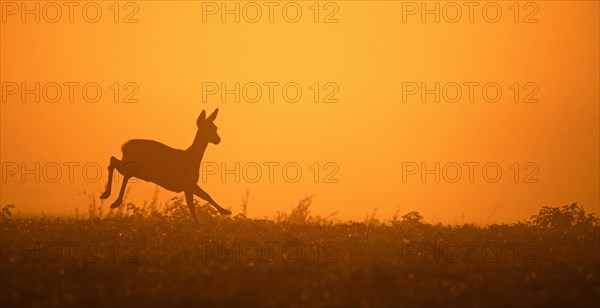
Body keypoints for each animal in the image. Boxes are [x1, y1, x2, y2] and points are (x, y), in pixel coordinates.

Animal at [99, 108, 231, 221]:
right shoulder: (188, 183)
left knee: (114, 161)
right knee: (124, 172)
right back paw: (115, 201)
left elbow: (205, 197)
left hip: (136, 167)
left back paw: (105, 195)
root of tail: (124, 146)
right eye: (213, 128)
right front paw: (223, 213)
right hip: (141, 168)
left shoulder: (189, 185)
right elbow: (197, 208)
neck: (193, 157)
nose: (218, 139)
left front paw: (225, 212)